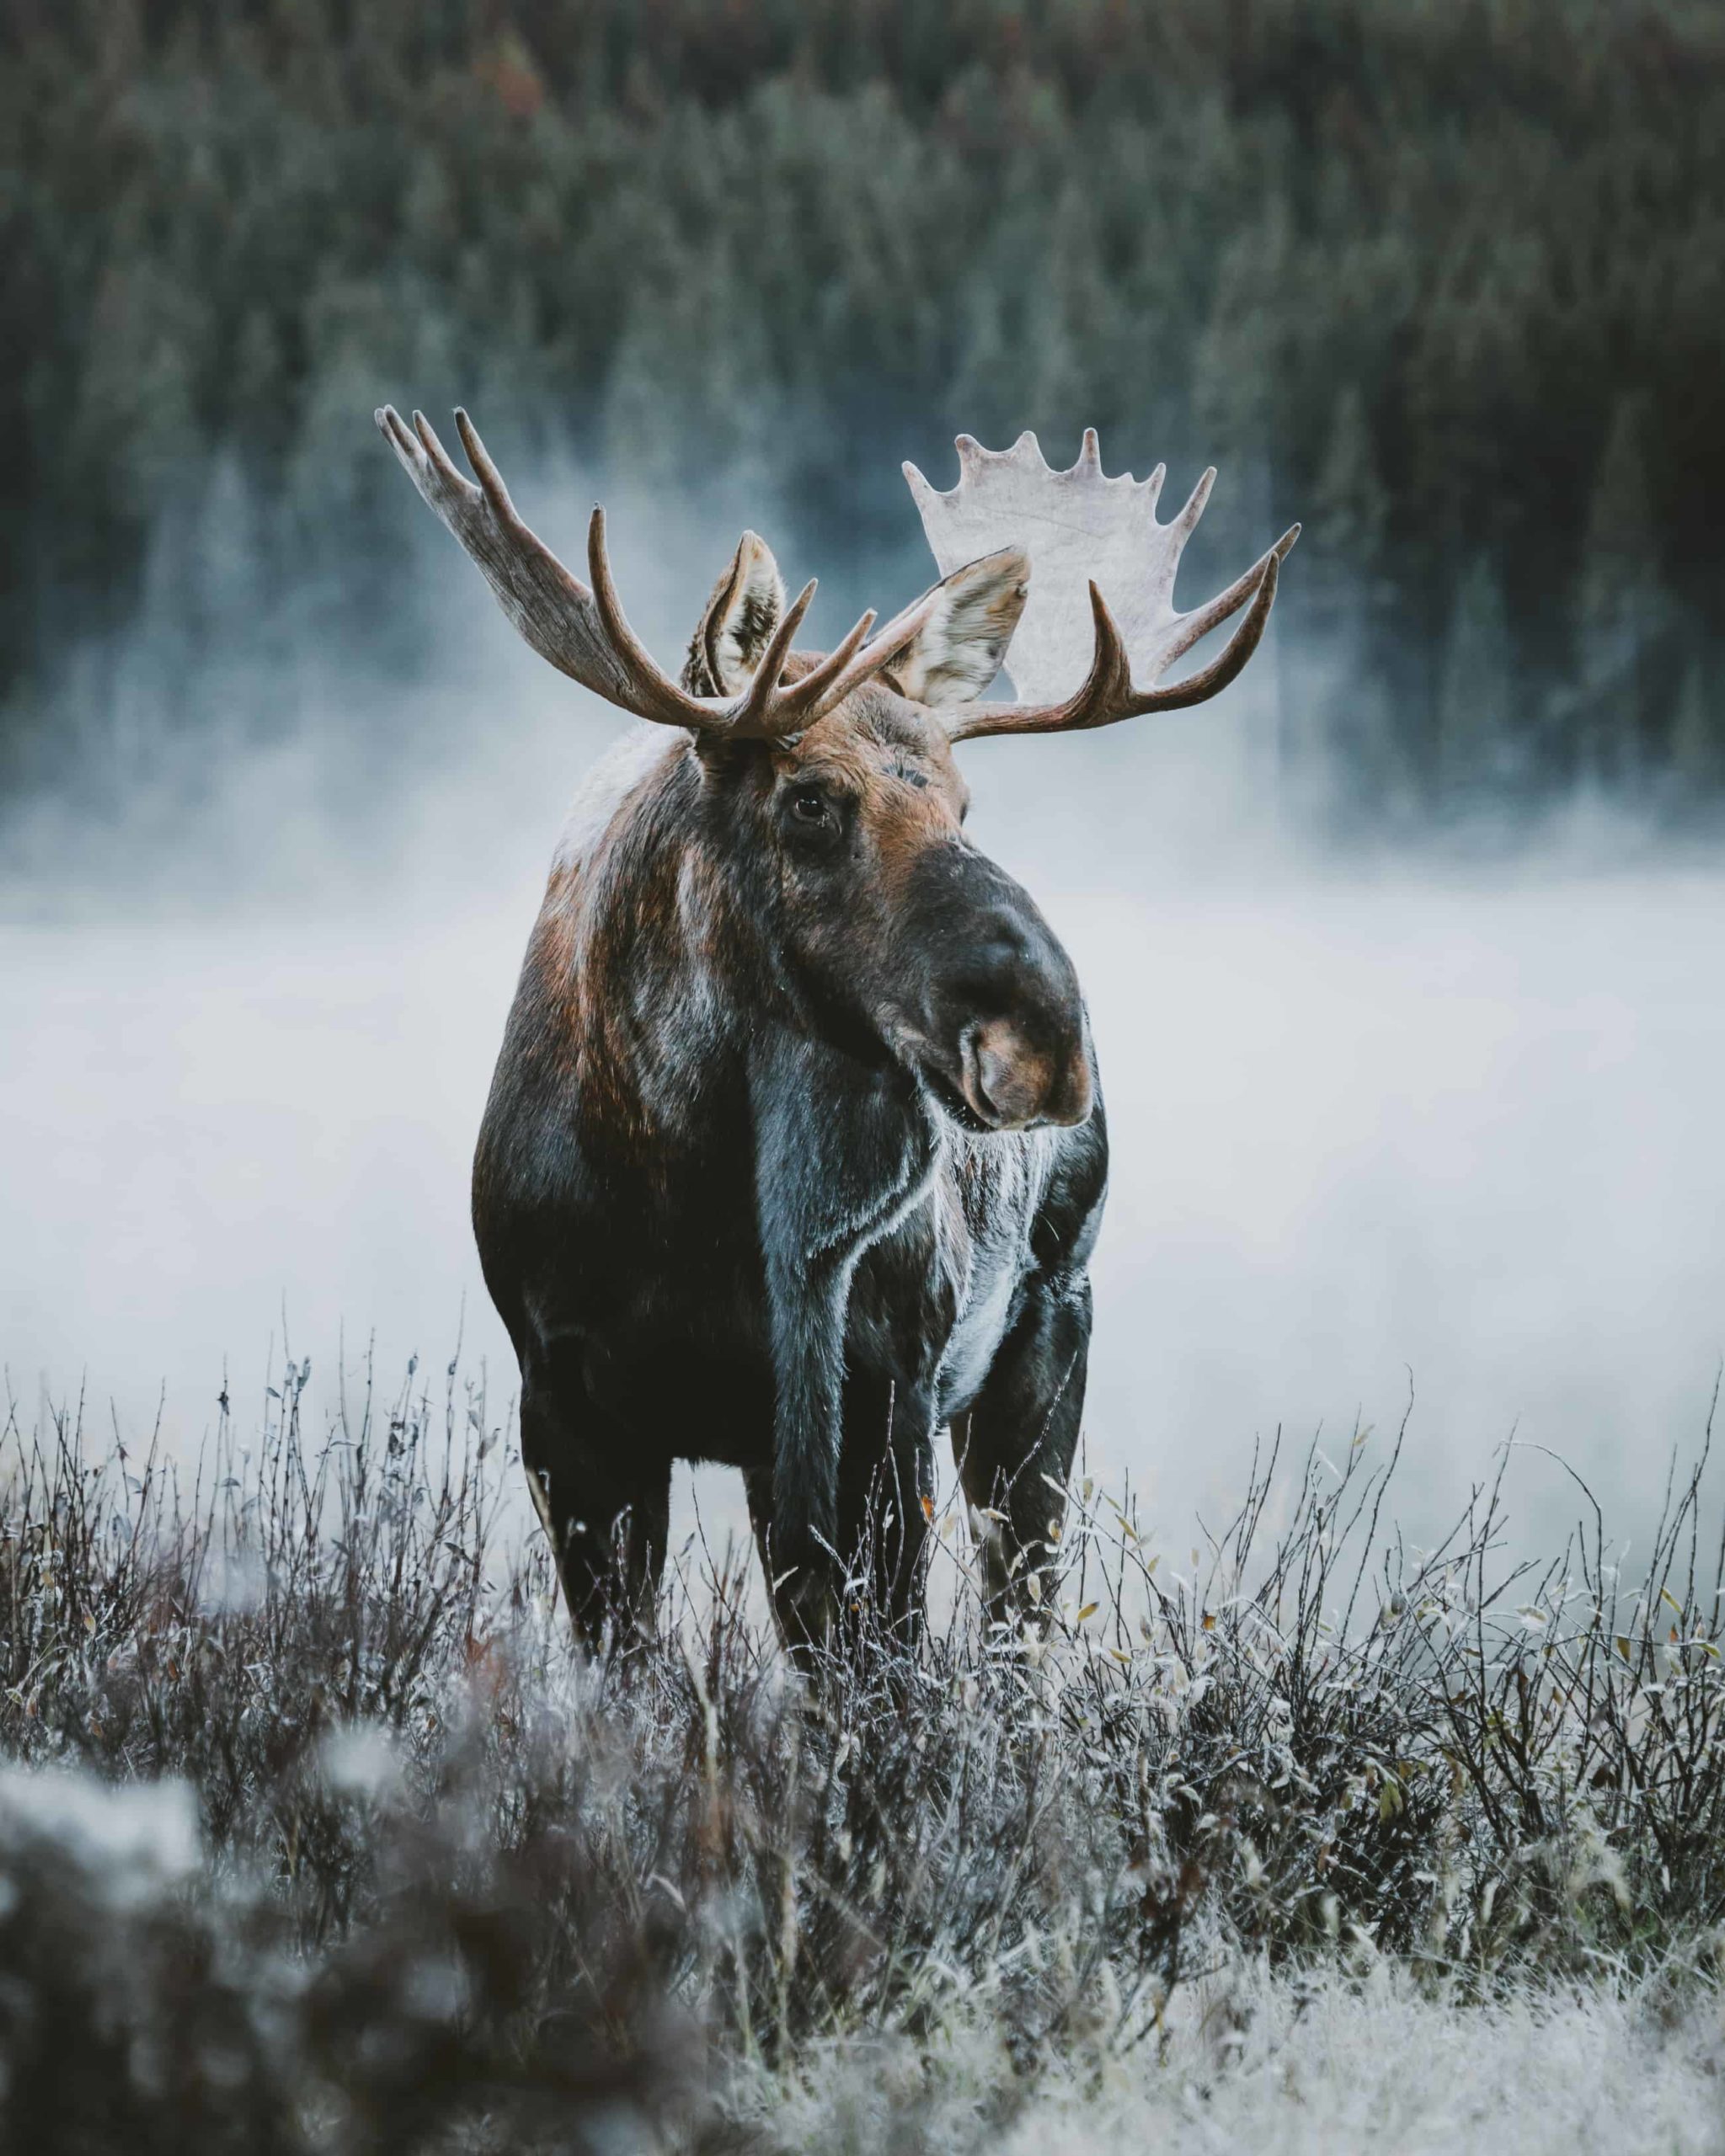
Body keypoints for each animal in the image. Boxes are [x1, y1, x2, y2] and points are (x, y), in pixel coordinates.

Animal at [377, 407, 1294, 1646]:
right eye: (808, 799)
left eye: (964, 801)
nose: (1048, 1042)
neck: (685, 1190)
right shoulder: (566, 1398)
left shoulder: (879, 1383)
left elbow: (882, 1668)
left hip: (1048, 1321)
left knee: (1018, 1617)